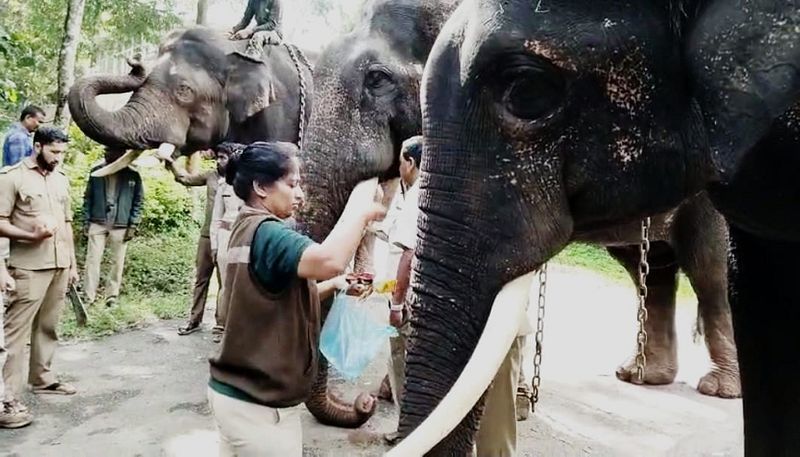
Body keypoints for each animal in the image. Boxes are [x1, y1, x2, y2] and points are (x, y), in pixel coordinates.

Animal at [300, 0, 736, 420]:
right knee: (650, 268)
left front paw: (519, 402)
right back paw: (641, 375)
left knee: (709, 270)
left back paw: (720, 387)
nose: (362, 405)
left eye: (377, 79)